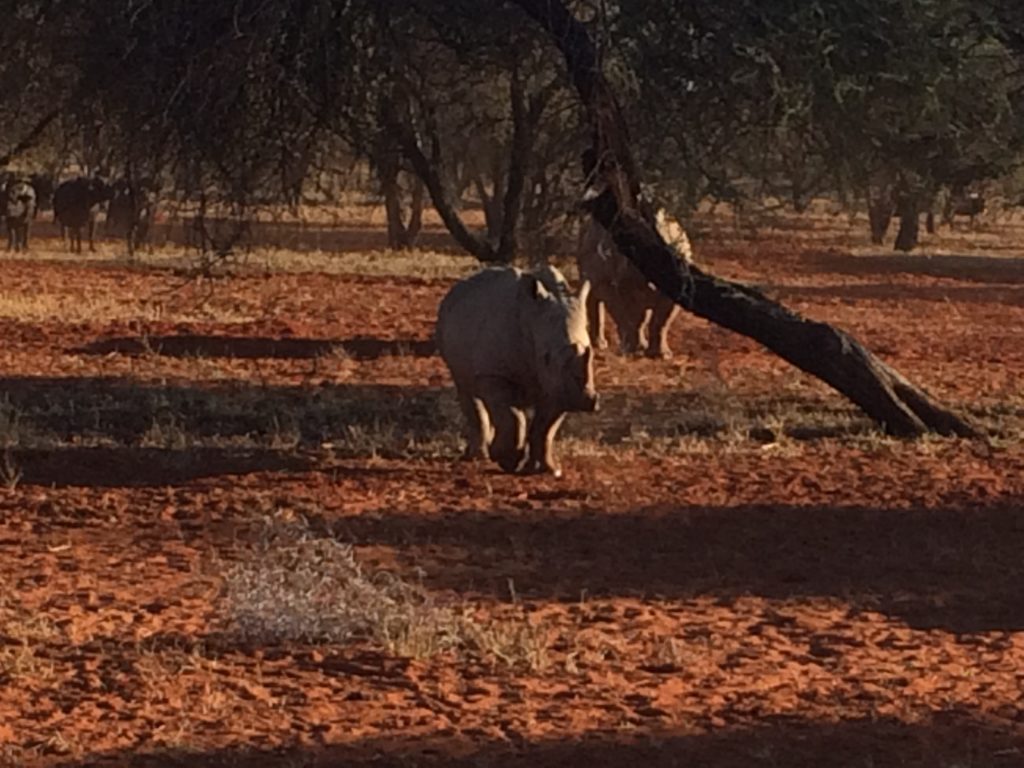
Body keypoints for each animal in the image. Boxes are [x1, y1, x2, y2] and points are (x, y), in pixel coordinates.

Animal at [434, 268, 598, 479]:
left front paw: (547, 469)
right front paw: (506, 460)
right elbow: (512, 415)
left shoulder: (558, 386)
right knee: (467, 389)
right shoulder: (495, 374)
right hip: (448, 328)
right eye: (546, 356)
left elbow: (545, 427)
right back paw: (478, 457)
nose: (585, 400)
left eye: (590, 352)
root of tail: (455, 289)